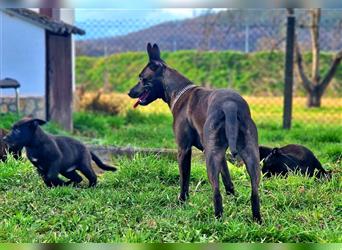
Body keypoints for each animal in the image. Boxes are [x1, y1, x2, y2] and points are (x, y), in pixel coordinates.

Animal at [128, 43, 262, 223]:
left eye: (142, 78)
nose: (129, 92)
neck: (179, 91)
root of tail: (230, 105)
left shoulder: (183, 150)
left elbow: (184, 179)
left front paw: (181, 201)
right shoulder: (219, 154)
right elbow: (227, 178)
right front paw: (233, 197)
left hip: (210, 159)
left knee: (216, 192)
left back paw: (218, 219)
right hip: (249, 155)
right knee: (254, 191)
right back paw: (257, 219)